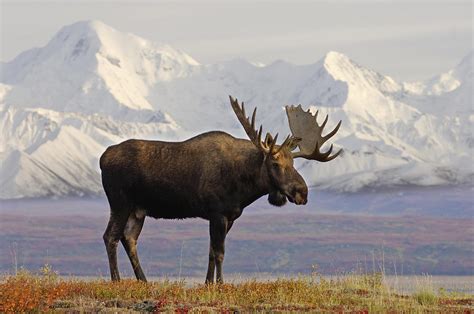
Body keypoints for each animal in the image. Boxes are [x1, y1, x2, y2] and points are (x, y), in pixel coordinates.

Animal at [102, 96, 342, 284]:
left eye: (293, 163)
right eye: (275, 163)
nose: (302, 192)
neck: (244, 187)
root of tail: (102, 158)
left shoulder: (229, 216)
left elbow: (211, 252)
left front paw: (209, 283)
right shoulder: (217, 213)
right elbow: (219, 253)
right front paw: (220, 284)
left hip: (138, 210)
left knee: (129, 238)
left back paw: (143, 280)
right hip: (120, 203)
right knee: (110, 237)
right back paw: (117, 280)